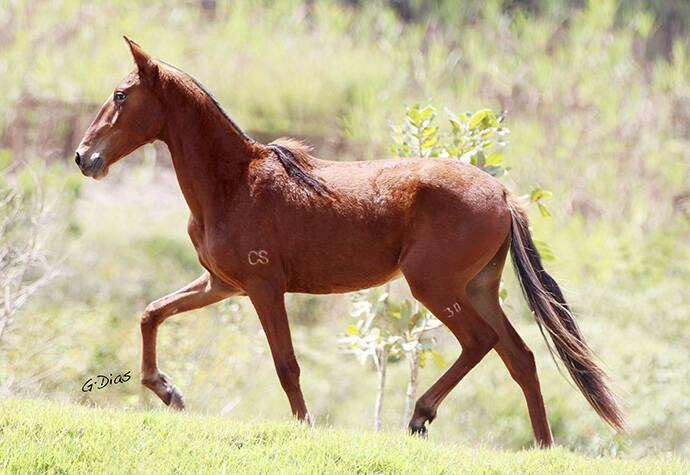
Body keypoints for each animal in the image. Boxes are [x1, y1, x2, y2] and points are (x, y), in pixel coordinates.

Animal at [75, 38, 624, 446]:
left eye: (121, 95)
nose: (84, 157)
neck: (233, 182)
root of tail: (505, 196)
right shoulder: (221, 284)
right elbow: (151, 313)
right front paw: (166, 390)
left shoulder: (263, 287)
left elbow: (286, 365)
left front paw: (304, 426)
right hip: (477, 288)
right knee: (520, 357)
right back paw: (543, 446)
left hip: (435, 286)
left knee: (481, 342)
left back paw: (421, 415)